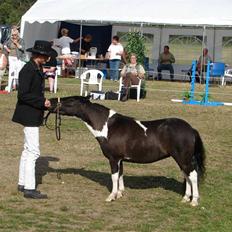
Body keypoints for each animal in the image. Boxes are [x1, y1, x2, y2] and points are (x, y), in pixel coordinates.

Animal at [48, 96, 205, 207]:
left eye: (70, 100)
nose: (50, 102)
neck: (108, 127)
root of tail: (191, 129)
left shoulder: (113, 159)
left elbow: (114, 177)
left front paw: (111, 196)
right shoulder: (120, 159)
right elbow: (120, 176)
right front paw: (119, 193)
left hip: (183, 159)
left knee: (193, 176)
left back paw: (194, 201)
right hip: (182, 160)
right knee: (187, 176)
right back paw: (185, 198)